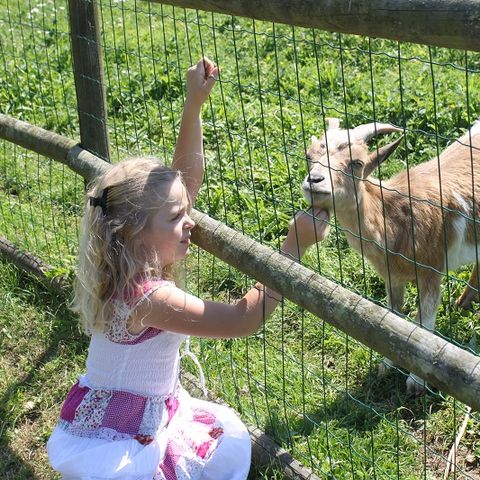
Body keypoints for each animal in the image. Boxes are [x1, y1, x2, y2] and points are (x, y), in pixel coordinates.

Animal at [302, 117, 480, 395]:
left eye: (357, 163)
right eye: (309, 156)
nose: (315, 181)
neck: (396, 218)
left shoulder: (431, 269)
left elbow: (423, 322)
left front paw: (416, 383)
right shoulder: (392, 277)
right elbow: (392, 319)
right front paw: (387, 365)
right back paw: (463, 303)